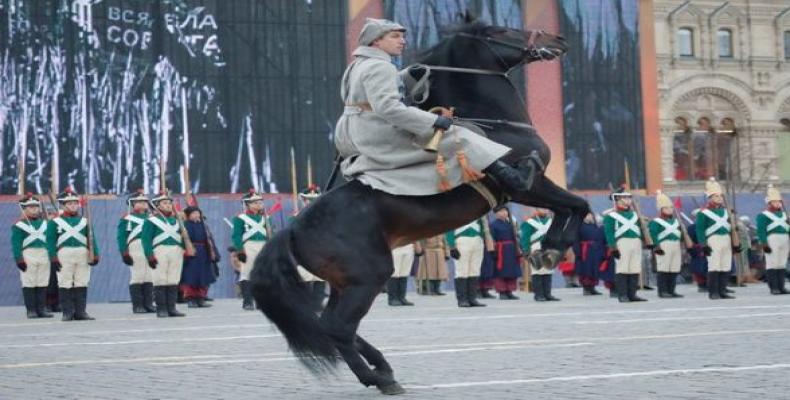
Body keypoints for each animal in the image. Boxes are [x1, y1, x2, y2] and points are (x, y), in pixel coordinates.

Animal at [251, 17, 592, 396]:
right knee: (338, 328)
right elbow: (577, 204)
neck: (497, 125)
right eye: (500, 30)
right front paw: (551, 249)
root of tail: (293, 229)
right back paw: (379, 378)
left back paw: (383, 369)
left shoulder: (530, 191)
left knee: (332, 326)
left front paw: (548, 249)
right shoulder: (529, 186)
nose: (557, 39)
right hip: (369, 276)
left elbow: (571, 207)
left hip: (346, 283)